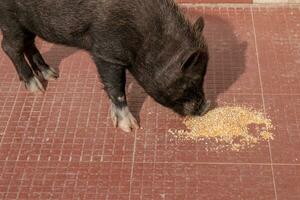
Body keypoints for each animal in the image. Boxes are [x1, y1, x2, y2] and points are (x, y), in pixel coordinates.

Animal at [0, 0, 210, 133]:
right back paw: (37, 89)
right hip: (10, 20)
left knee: (28, 43)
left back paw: (51, 74)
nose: (206, 107)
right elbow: (116, 86)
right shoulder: (107, 52)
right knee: (10, 46)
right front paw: (130, 128)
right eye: (191, 80)